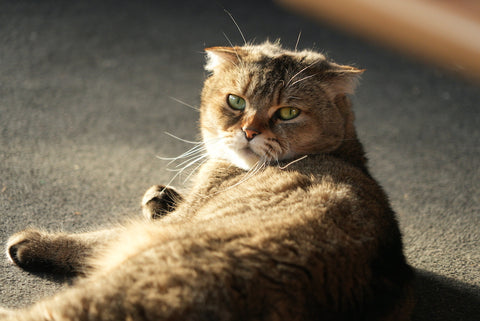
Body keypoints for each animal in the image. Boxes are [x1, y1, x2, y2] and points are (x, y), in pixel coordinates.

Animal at [0, 42, 414, 320]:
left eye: (288, 113)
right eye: (236, 102)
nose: (248, 131)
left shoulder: (169, 224)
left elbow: (95, 238)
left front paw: (33, 242)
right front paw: (161, 196)